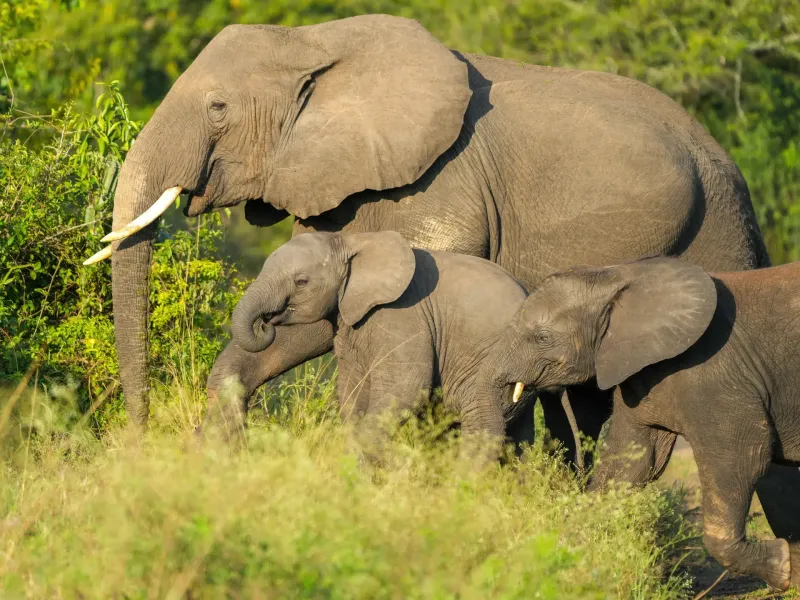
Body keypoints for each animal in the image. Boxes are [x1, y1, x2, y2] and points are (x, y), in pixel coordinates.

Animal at [221, 230, 534, 459]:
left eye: (301, 281)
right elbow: (352, 392)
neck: (350, 241)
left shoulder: (403, 316)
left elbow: (407, 385)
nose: (265, 323)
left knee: (480, 422)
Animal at [479, 257, 800, 589]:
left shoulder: (715, 375)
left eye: (542, 338)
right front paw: (571, 564)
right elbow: (632, 463)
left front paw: (785, 566)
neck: (621, 276)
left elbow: (742, 457)